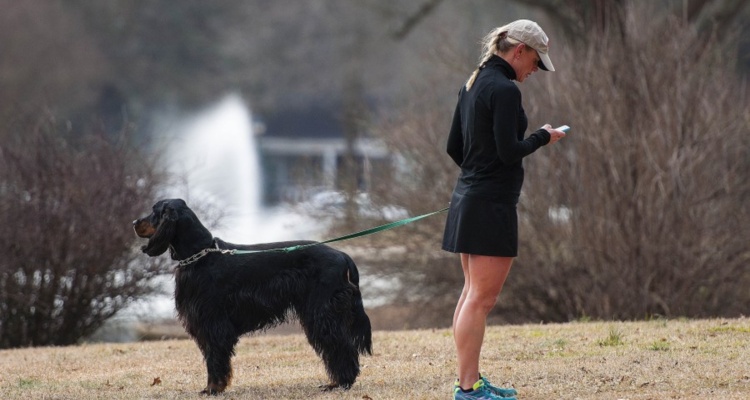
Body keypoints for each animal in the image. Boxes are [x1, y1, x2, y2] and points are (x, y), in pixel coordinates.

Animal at [134, 198, 374, 394]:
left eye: (154, 211)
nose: (134, 222)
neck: (201, 255)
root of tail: (343, 256)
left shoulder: (212, 321)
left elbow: (214, 358)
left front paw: (213, 389)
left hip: (322, 312)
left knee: (340, 346)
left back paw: (340, 383)